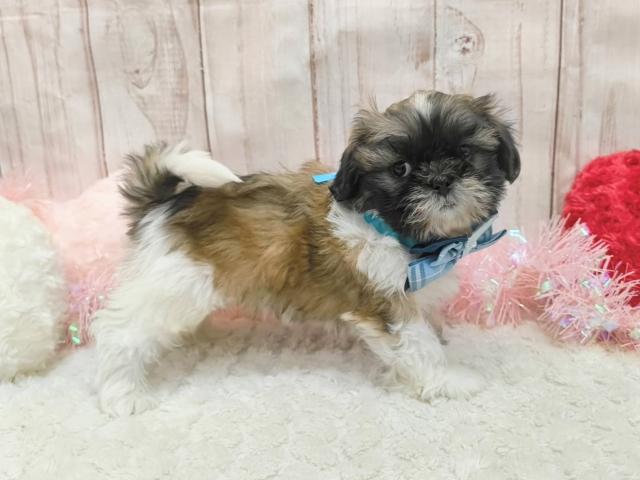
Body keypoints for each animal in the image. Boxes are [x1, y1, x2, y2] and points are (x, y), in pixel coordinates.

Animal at [92, 90, 520, 416]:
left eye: (464, 153)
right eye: (400, 169)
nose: (441, 180)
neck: (408, 237)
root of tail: (163, 203)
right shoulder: (385, 303)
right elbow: (419, 344)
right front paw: (448, 380)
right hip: (172, 285)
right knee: (120, 334)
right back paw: (122, 395)